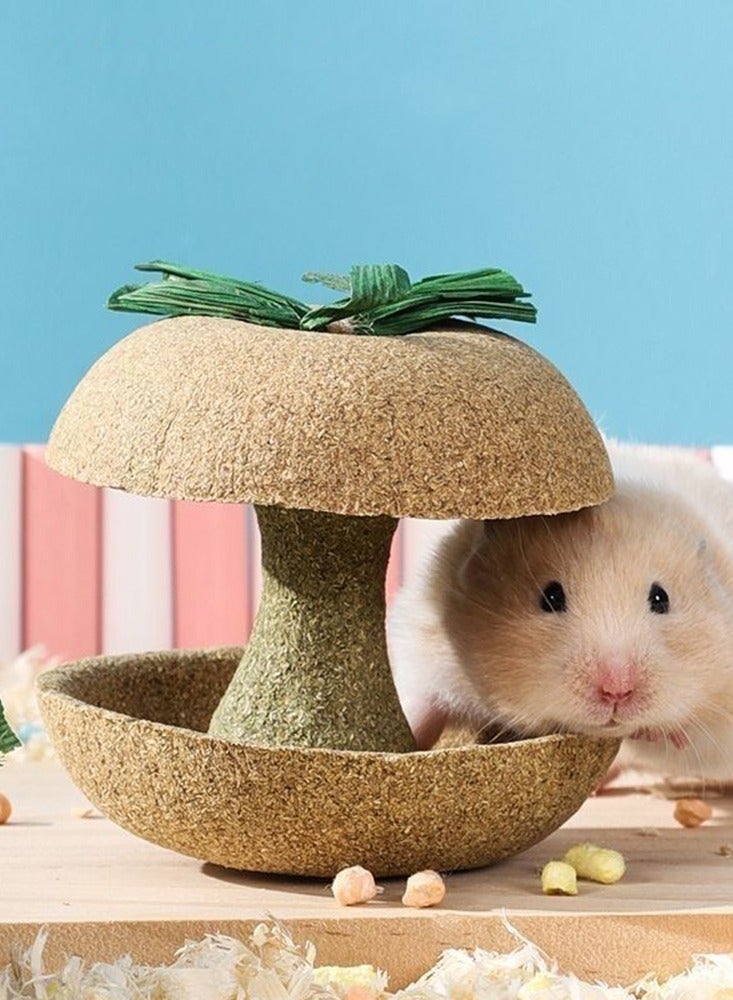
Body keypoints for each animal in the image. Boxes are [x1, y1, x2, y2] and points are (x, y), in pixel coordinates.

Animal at [387, 442, 733, 780]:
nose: (617, 691)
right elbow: (421, 702)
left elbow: (686, 737)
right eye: (551, 597)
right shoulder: (423, 637)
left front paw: (655, 732)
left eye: (661, 599)